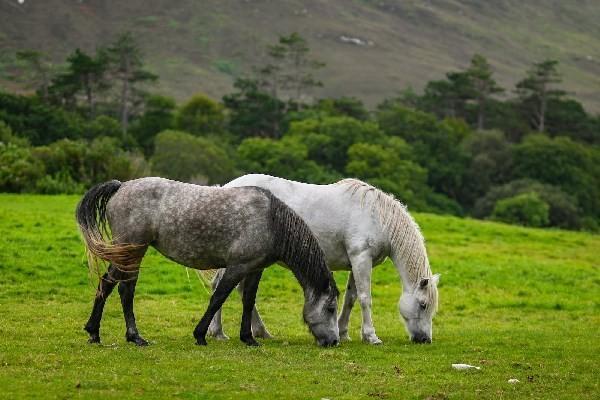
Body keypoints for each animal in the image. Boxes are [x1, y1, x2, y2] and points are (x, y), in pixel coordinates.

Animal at [75, 178, 340, 346]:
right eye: (330, 308)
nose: (334, 341)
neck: (270, 221)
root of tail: (121, 186)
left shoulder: (255, 269)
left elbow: (248, 301)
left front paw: (248, 338)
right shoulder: (236, 267)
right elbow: (218, 298)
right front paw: (201, 335)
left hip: (126, 253)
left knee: (109, 284)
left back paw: (95, 332)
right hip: (133, 250)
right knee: (125, 289)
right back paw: (133, 336)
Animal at [207, 174, 440, 344]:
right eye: (423, 305)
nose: (425, 340)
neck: (377, 217)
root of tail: (225, 188)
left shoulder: (357, 263)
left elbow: (351, 298)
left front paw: (344, 332)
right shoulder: (361, 259)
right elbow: (365, 298)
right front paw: (371, 336)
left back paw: (261, 332)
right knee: (220, 286)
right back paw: (218, 332)